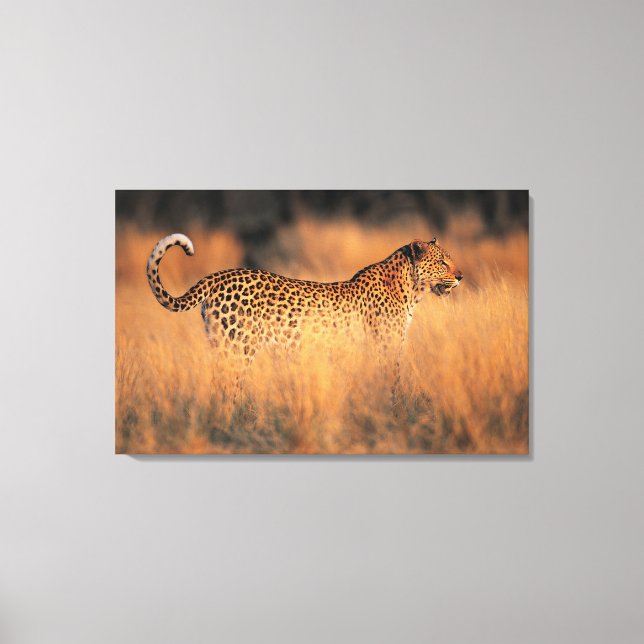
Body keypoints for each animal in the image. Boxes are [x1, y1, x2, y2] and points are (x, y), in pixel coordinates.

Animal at [146, 233, 463, 371]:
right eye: (442, 262)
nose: (461, 276)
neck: (410, 289)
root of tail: (220, 275)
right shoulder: (386, 346)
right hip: (238, 349)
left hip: (221, 346)